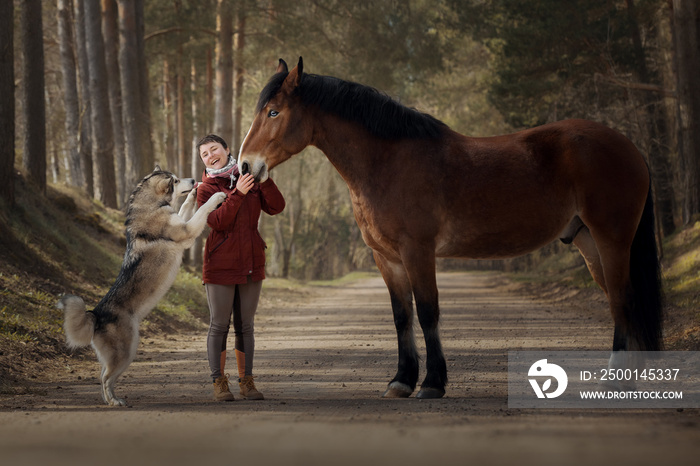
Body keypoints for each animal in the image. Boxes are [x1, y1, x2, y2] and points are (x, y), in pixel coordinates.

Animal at [59, 167, 227, 404]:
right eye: (175, 180)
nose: (194, 179)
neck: (152, 206)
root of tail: (95, 315)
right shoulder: (187, 232)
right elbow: (202, 210)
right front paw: (216, 197)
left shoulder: (181, 222)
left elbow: (185, 208)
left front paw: (194, 195)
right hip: (125, 353)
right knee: (105, 378)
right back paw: (114, 402)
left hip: (122, 355)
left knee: (102, 376)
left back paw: (111, 400)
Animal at [238, 57, 664, 400]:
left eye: (273, 112)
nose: (245, 165)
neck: (389, 162)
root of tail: (629, 146)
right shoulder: (386, 258)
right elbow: (402, 316)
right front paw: (401, 382)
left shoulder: (418, 252)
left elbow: (428, 312)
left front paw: (432, 384)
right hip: (589, 243)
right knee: (620, 304)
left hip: (612, 240)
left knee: (623, 301)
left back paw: (615, 381)